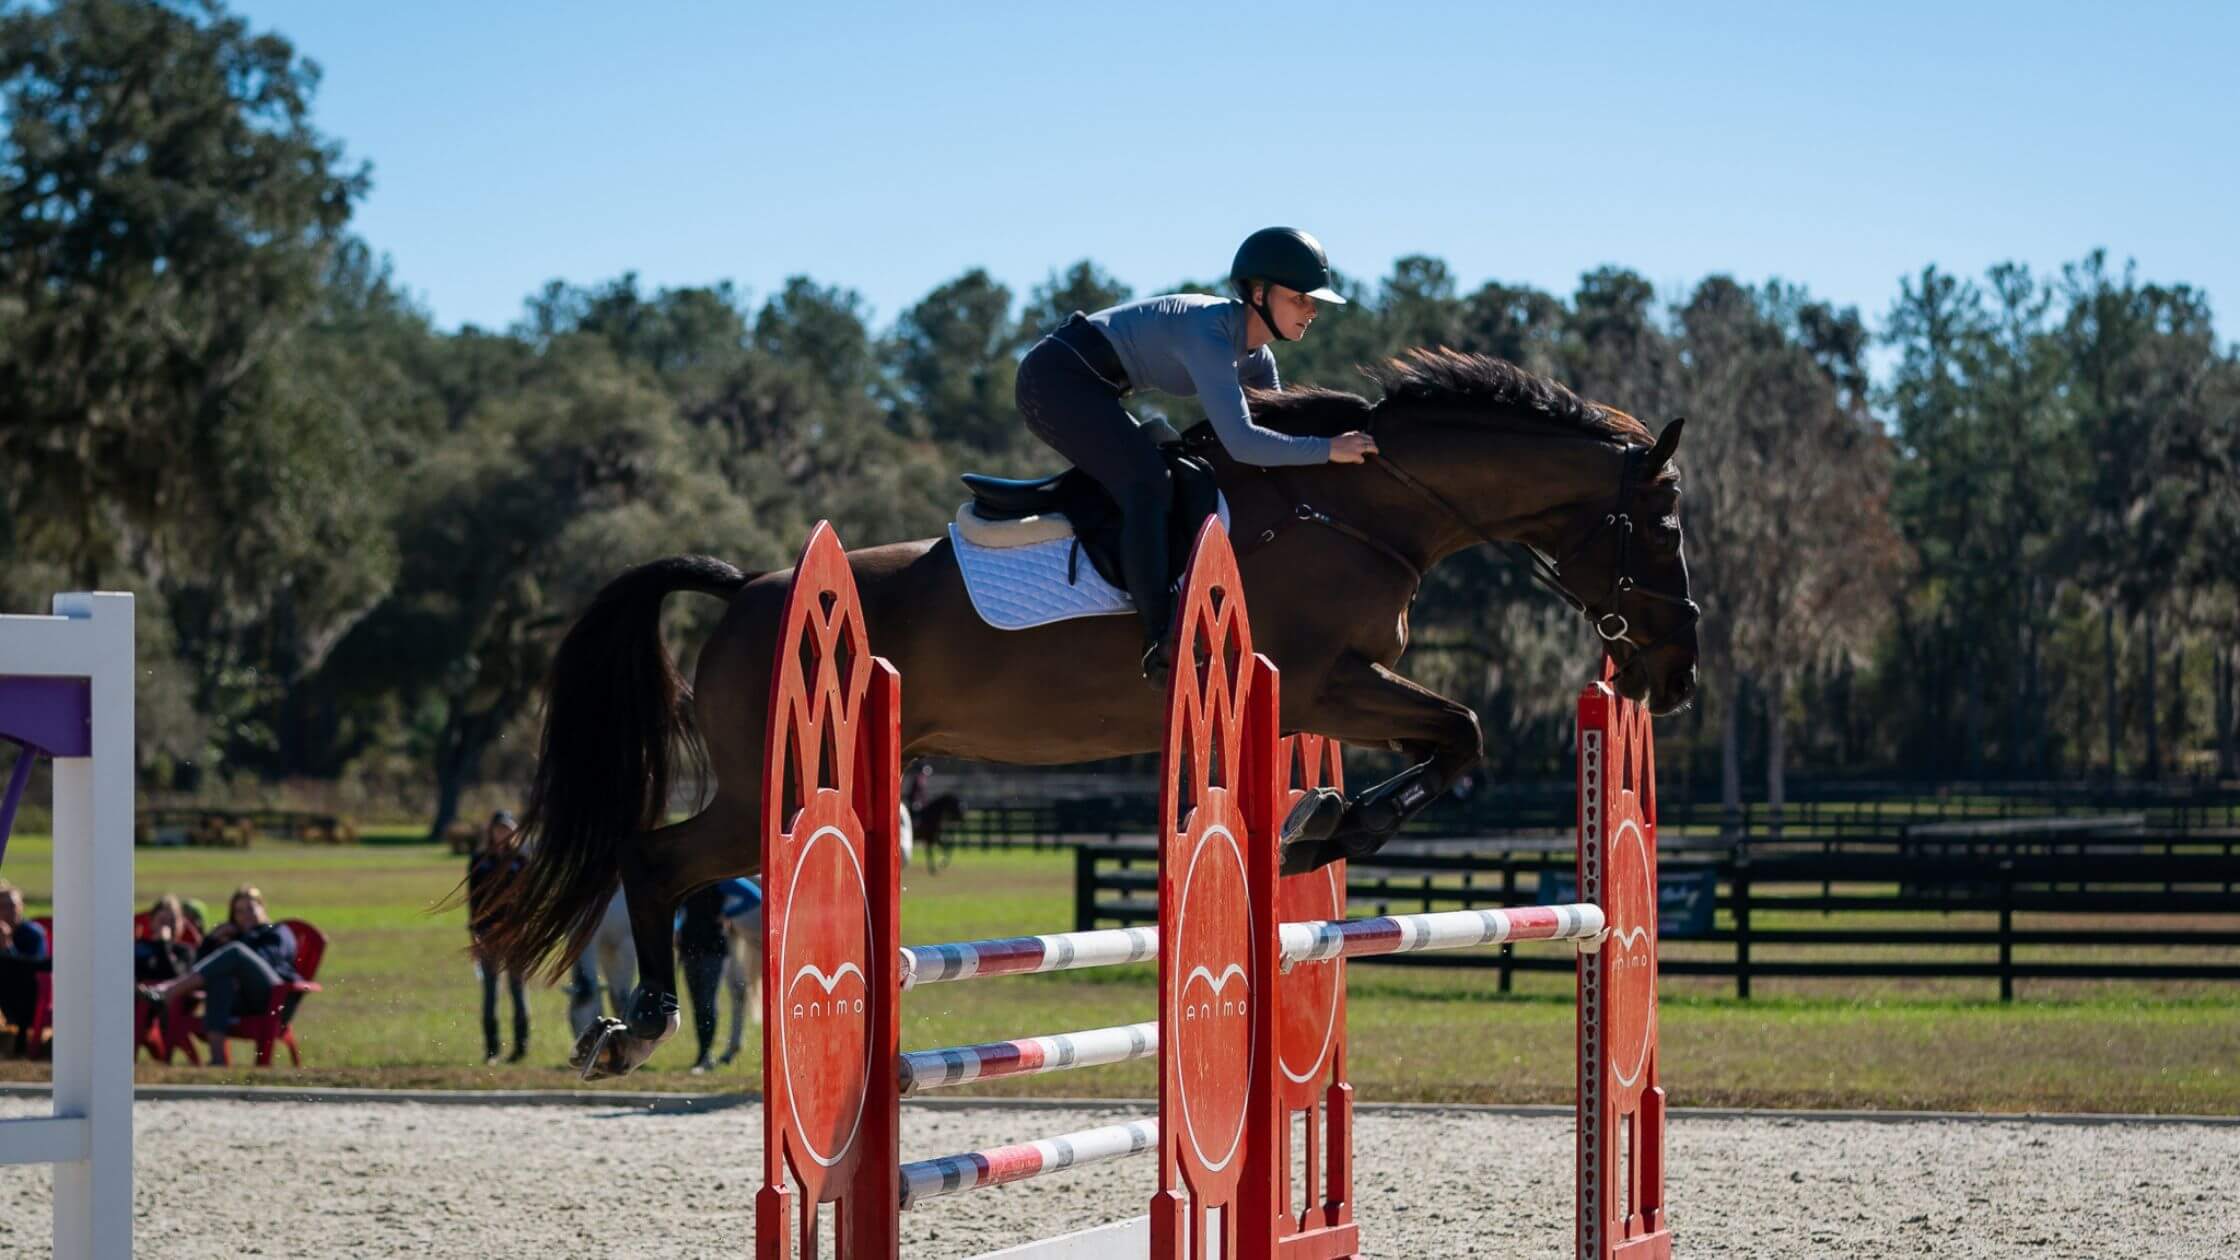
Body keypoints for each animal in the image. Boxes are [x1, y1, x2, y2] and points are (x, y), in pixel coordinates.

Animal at [480, 348, 1701, 1079]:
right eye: (1663, 522)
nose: (1676, 673)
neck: (1354, 503)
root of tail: (746, 588)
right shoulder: (1321, 679)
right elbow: (1464, 733)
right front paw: (1326, 831)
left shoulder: (1342, 690)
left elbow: (1447, 747)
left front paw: (1320, 822)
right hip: (761, 791)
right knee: (653, 858)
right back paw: (631, 1024)